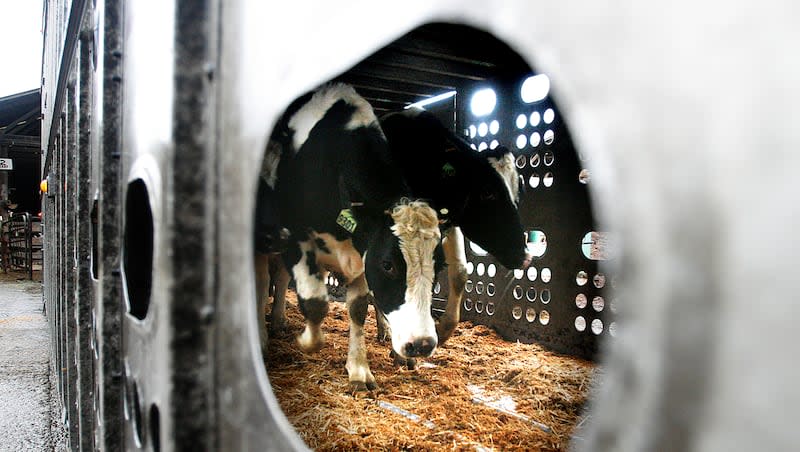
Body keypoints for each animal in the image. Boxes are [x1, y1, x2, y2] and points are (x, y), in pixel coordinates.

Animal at [260, 85, 440, 392]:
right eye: (388, 264)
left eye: (437, 266)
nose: (423, 344)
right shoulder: (295, 239)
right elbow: (315, 303)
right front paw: (308, 341)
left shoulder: (361, 254)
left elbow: (357, 309)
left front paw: (358, 370)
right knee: (265, 279)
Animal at [380, 108, 532, 346]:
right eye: (488, 192)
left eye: (520, 191)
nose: (526, 258)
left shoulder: (451, 224)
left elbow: (460, 272)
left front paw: (443, 330)